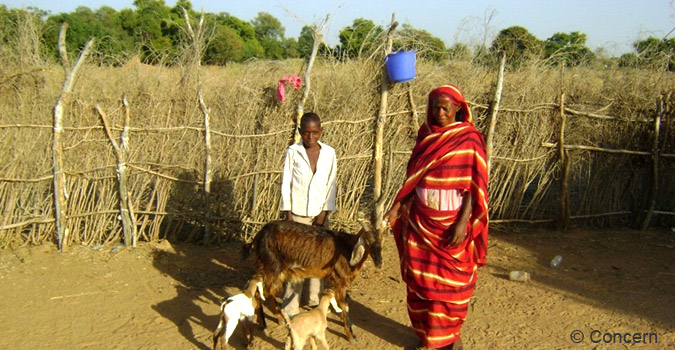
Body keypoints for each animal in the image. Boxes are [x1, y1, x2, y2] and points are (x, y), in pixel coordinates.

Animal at [248, 220, 386, 344]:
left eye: (381, 239)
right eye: (367, 240)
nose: (379, 262)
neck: (348, 248)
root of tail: (259, 236)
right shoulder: (339, 280)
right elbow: (344, 306)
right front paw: (351, 336)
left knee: (264, 290)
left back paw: (271, 321)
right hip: (271, 267)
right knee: (262, 291)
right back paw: (271, 322)